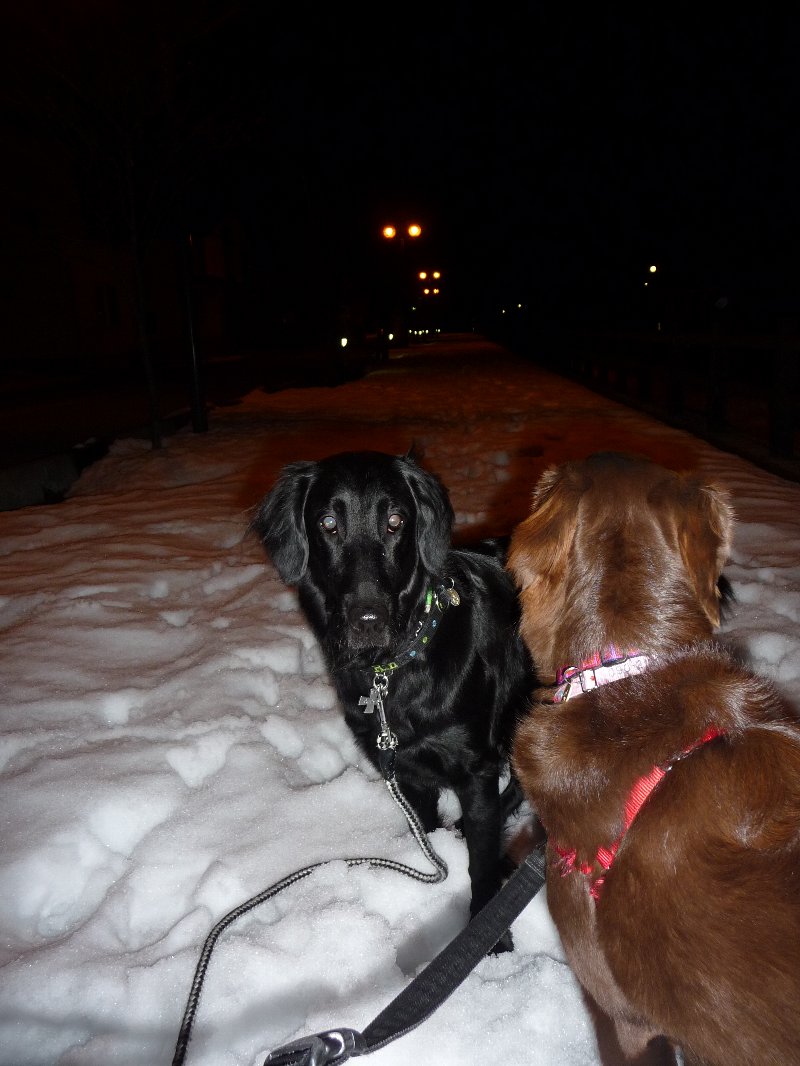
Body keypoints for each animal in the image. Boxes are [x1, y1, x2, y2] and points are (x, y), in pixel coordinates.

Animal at [252, 450, 535, 942]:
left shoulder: (474, 767)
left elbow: (480, 865)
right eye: (328, 523)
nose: (368, 620)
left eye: (396, 521)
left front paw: (490, 935)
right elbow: (427, 828)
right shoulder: (404, 769)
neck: (391, 671)